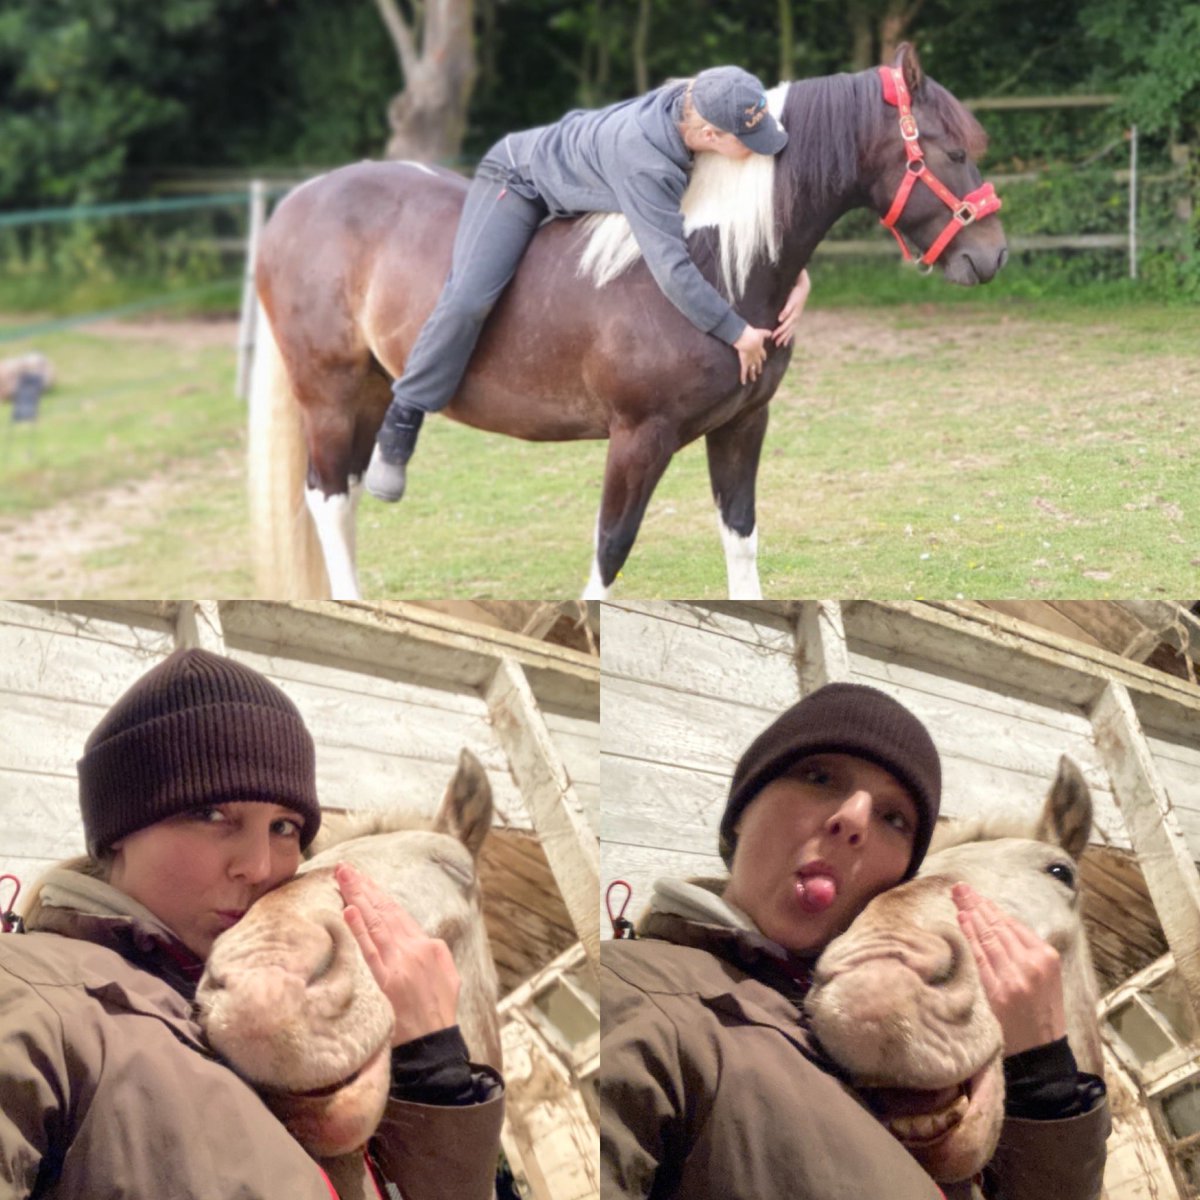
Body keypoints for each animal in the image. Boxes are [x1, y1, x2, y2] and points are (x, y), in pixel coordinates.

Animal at [249, 42, 1007, 601]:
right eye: (952, 152)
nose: (992, 255)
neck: (715, 263)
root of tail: (296, 205)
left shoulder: (743, 425)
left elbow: (741, 536)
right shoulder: (639, 439)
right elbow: (611, 548)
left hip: (371, 391)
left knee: (344, 495)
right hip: (330, 393)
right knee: (328, 499)